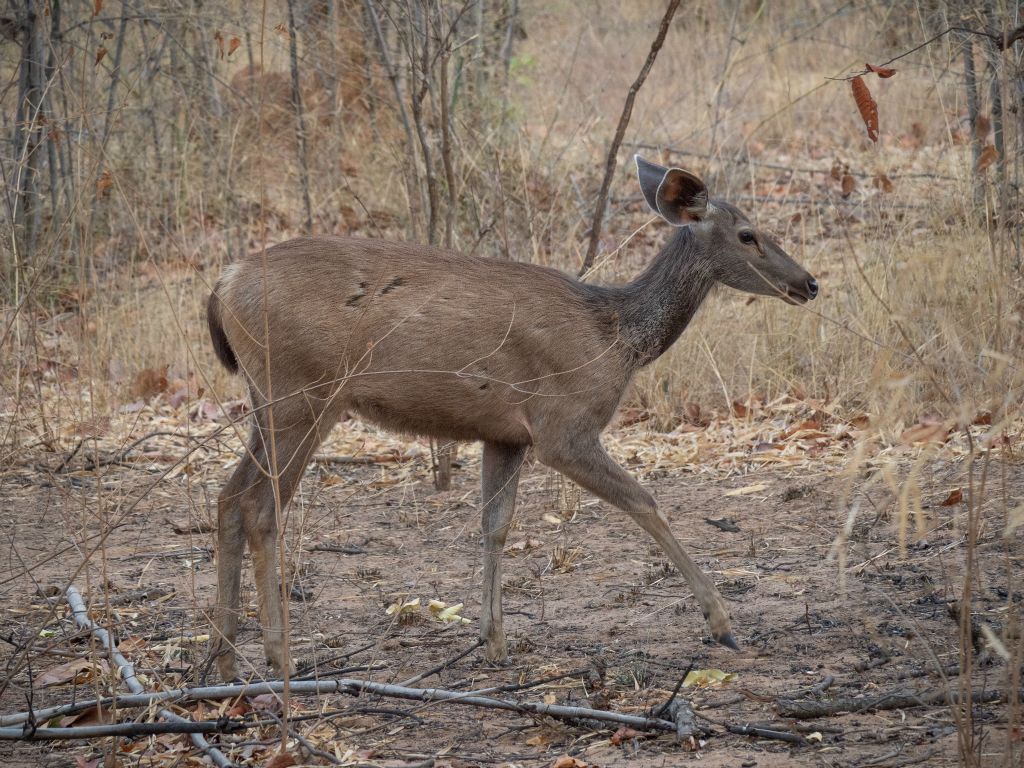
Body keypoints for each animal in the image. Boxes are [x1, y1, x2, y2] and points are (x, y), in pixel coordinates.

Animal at [205, 154, 815, 679]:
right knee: (260, 507)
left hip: (269, 402)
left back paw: (226, 661)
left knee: (229, 498)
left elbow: (494, 526)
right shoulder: (562, 426)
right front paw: (723, 623)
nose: (809, 283)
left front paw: (493, 640)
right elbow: (644, 499)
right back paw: (278, 658)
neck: (617, 337)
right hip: (302, 394)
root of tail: (223, 284)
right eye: (748, 234)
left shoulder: (504, 435)